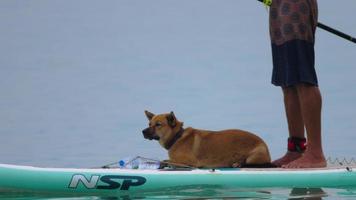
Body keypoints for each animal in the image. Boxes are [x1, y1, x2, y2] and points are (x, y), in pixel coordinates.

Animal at [140, 110, 272, 168]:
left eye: (158, 124)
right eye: (149, 124)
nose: (143, 132)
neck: (177, 137)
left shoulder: (189, 162)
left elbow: (166, 161)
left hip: (254, 155)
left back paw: (238, 163)